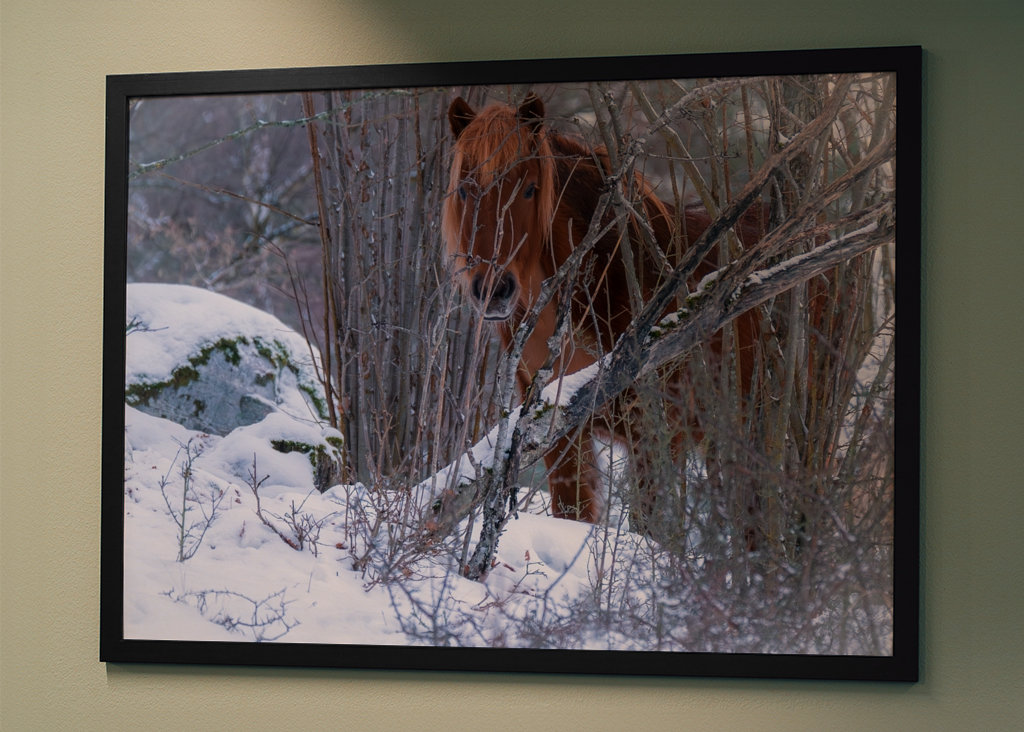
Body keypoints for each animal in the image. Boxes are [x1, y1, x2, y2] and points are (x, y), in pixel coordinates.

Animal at [442, 93, 764, 534]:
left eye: (530, 190)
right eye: (464, 189)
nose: (493, 290)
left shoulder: (657, 434)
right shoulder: (558, 435)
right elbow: (573, 512)